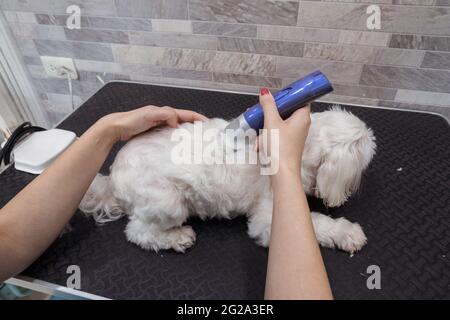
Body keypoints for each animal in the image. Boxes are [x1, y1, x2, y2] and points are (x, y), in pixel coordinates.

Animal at [80, 106, 376, 254]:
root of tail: (113, 180)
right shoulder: (269, 218)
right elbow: (316, 224)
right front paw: (347, 233)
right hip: (167, 202)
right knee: (137, 232)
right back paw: (176, 238)